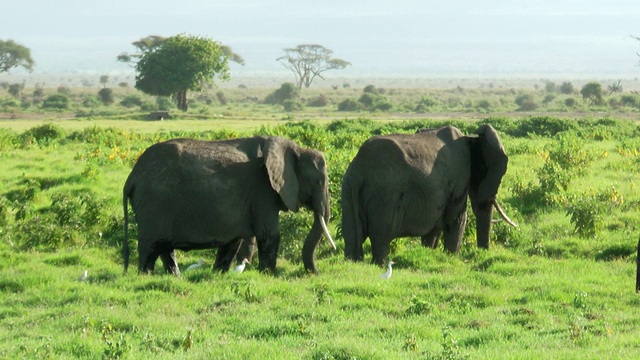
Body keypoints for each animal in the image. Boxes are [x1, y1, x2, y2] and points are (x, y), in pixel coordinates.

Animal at [122, 136, 338, 274]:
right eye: (318, 181)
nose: (315, 273)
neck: (295, 148)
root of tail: (132, 177)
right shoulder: (262, 188)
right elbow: (269, 234)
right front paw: (269, 274)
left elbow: (233, 240)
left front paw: (218, 274)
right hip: (154, 201)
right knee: (151, 246)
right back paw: (145, 275)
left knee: (165, 246)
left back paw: (175, 277)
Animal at [340, 124, 516, 264]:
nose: (482, 253)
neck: (471, 138)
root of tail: (359, 169)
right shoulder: (460, 175)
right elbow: (457, 219)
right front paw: (451, 258)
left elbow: (434, 228)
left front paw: (430, 254)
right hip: (383, 196)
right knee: (381, 237)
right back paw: (380, 265)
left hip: (347, 188)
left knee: (351, 236)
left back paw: (353, 262)